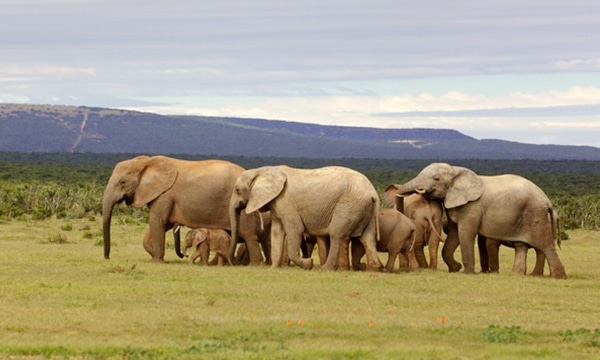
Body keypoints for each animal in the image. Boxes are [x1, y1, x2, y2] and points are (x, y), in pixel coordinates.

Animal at [101, 155, 262, 264]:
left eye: (122, 182)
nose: (107, 257)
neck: (146, 162)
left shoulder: (164, 195)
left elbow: (157, 221)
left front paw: (156, 261)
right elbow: (161, 225)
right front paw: (154, 256)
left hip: (243, 205)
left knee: (249, 236)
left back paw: (253, 265)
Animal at [230, 165, 380, 270]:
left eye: (237, 190)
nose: (233, 263)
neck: (261, 170)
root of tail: (373, 192)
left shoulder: (286, 202)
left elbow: (295, 230)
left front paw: (309, 264)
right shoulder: (277, 204)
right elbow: (277, 232)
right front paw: (273, 269)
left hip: (349, 206)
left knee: (336, 234)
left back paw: (325, 269)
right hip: (363, 208)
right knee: (367, 237)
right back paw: (374, 268)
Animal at [396, 163, 564, 278]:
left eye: (436, 179)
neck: (456, 170)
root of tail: (547, 201)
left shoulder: (472, 207)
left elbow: (465, 233)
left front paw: (467, 273)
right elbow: (454, 235)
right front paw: (455, 269)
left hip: (535, 215)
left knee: (545, 246)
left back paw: (556, 277)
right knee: (522, 246)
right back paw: (517, 274)